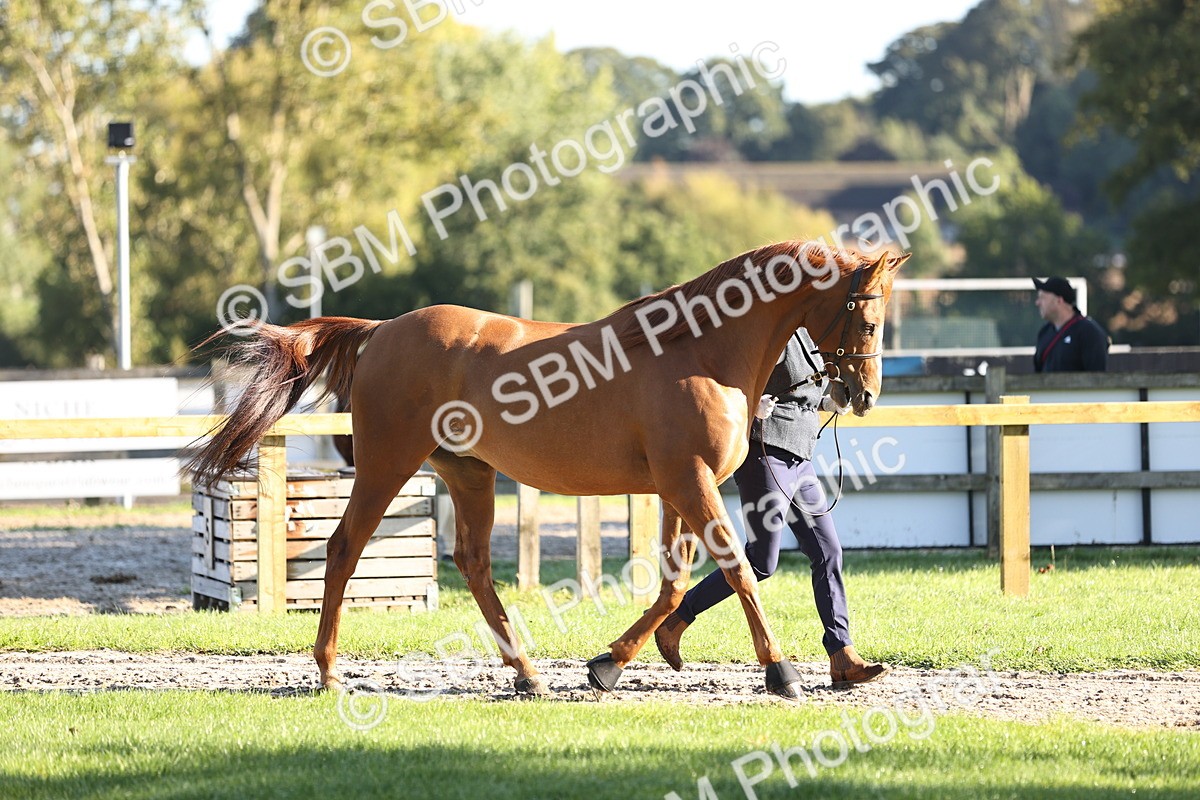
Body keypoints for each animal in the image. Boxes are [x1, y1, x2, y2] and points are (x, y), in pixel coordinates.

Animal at [187, 239, 908, 699]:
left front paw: (611, 664)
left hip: (469, 474)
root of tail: (382, 330)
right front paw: (781, 672)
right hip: (389, 465)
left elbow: (674, 584)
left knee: (474, 564)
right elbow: (734, 567)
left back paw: (527, 673)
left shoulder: (676, 486)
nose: (863, 395)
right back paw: (330, 671)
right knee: (343, 550)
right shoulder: (690, 480)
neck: (700, 352)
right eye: (870, 319)